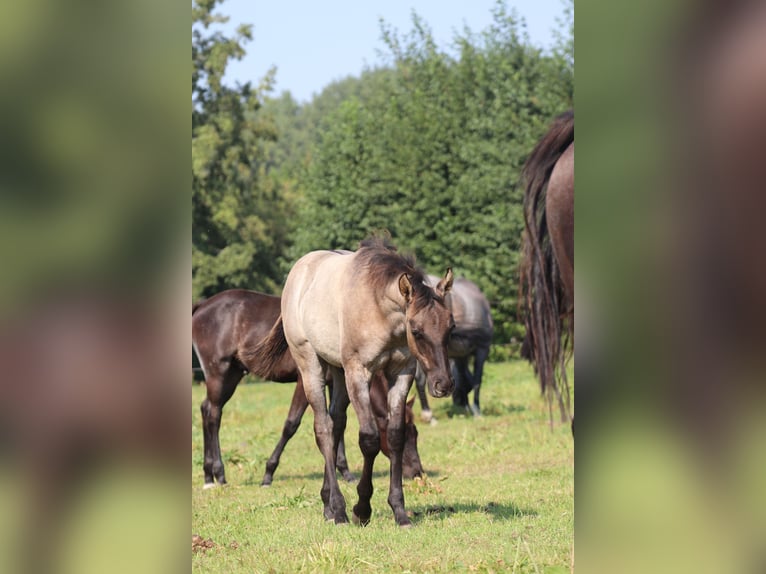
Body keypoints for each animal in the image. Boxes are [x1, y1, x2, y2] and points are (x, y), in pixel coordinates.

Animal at [190, 292, 424, 490]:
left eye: (415, 433)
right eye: (405, 435)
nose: (418, 473)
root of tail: (203, 305)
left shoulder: (336, 383)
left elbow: (338, 423)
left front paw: (345, 472)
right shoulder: (305, 382)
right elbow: (291, 425)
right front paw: (268, 474)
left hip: (233, 375)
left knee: (207, 409)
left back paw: (209, 474)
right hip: (219, 374)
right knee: (213, 414)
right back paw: (218, 474)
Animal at [250, 240, 456, 532]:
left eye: (451, 328)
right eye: (416, 331)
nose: (443, 384)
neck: (379, 310)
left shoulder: (401, 372)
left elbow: (395, 436)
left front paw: (399, 511)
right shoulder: (358, 372)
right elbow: (369, 439)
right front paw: (362, 508)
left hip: (337, 371)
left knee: (336, 424)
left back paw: (327, 504)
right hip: (311, 366)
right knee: (323, 428)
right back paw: (338, 509)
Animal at [416, 274, 496, 418]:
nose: (458, 403)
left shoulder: (460, 356)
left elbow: (464, 379)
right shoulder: (482, 349)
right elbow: (476, 380)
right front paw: (476, 409)